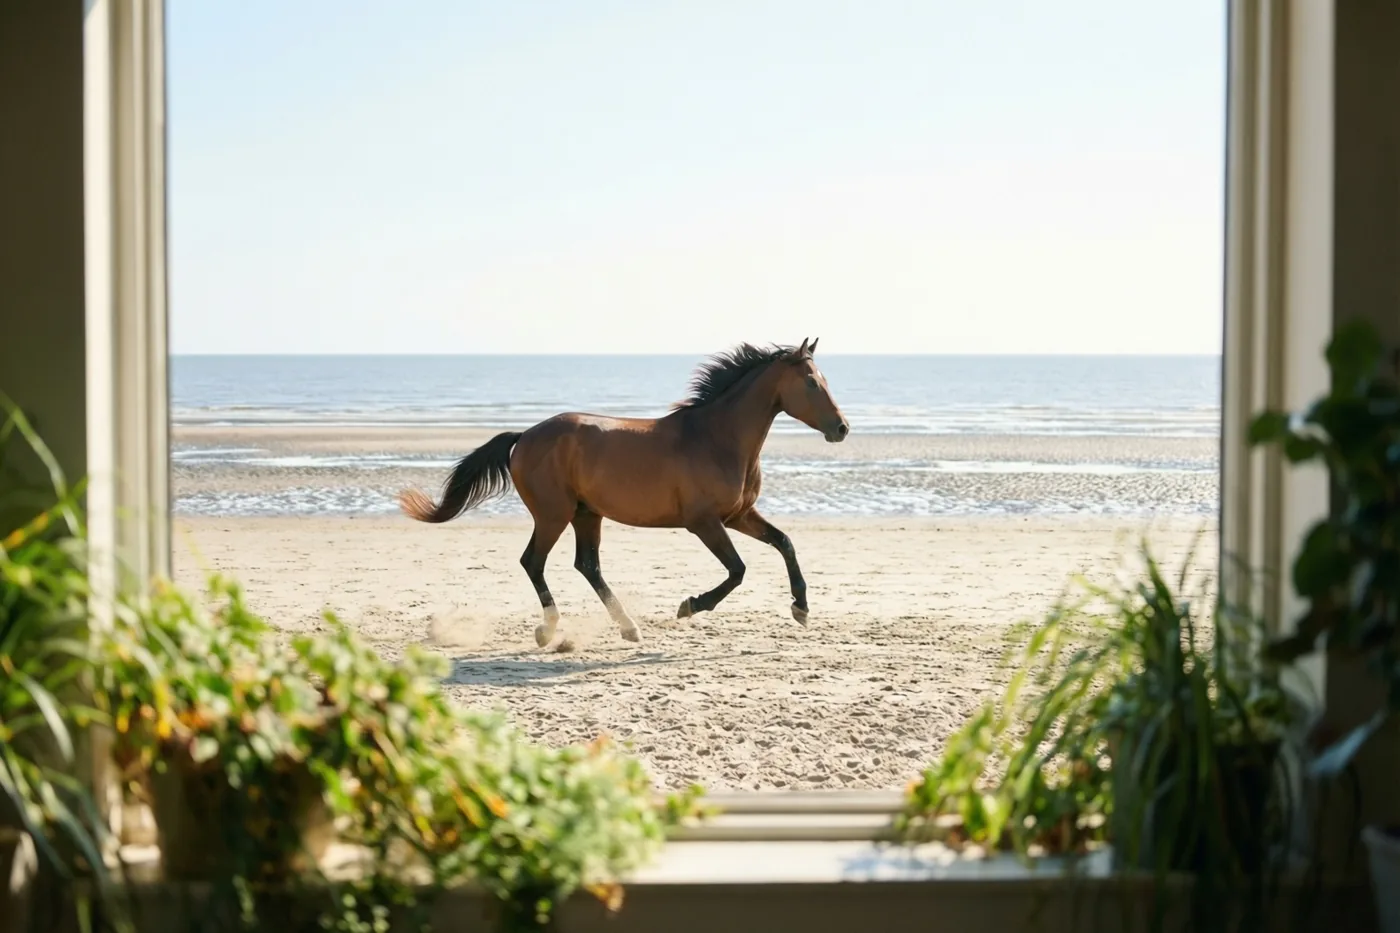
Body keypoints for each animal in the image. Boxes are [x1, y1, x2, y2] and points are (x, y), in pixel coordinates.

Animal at [397, 337, 849, 647]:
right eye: (812, 383)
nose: (842, 428)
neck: (716, 438)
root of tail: (524, 436)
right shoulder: (704, 522)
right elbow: (737, 570)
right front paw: (689, 606)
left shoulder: (738, 515)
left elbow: (785, 543)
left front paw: (801, 609)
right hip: (554, 515)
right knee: (534, 561)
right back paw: (549, 629)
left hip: (586, 514)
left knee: (587, 565)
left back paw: (628, 627)